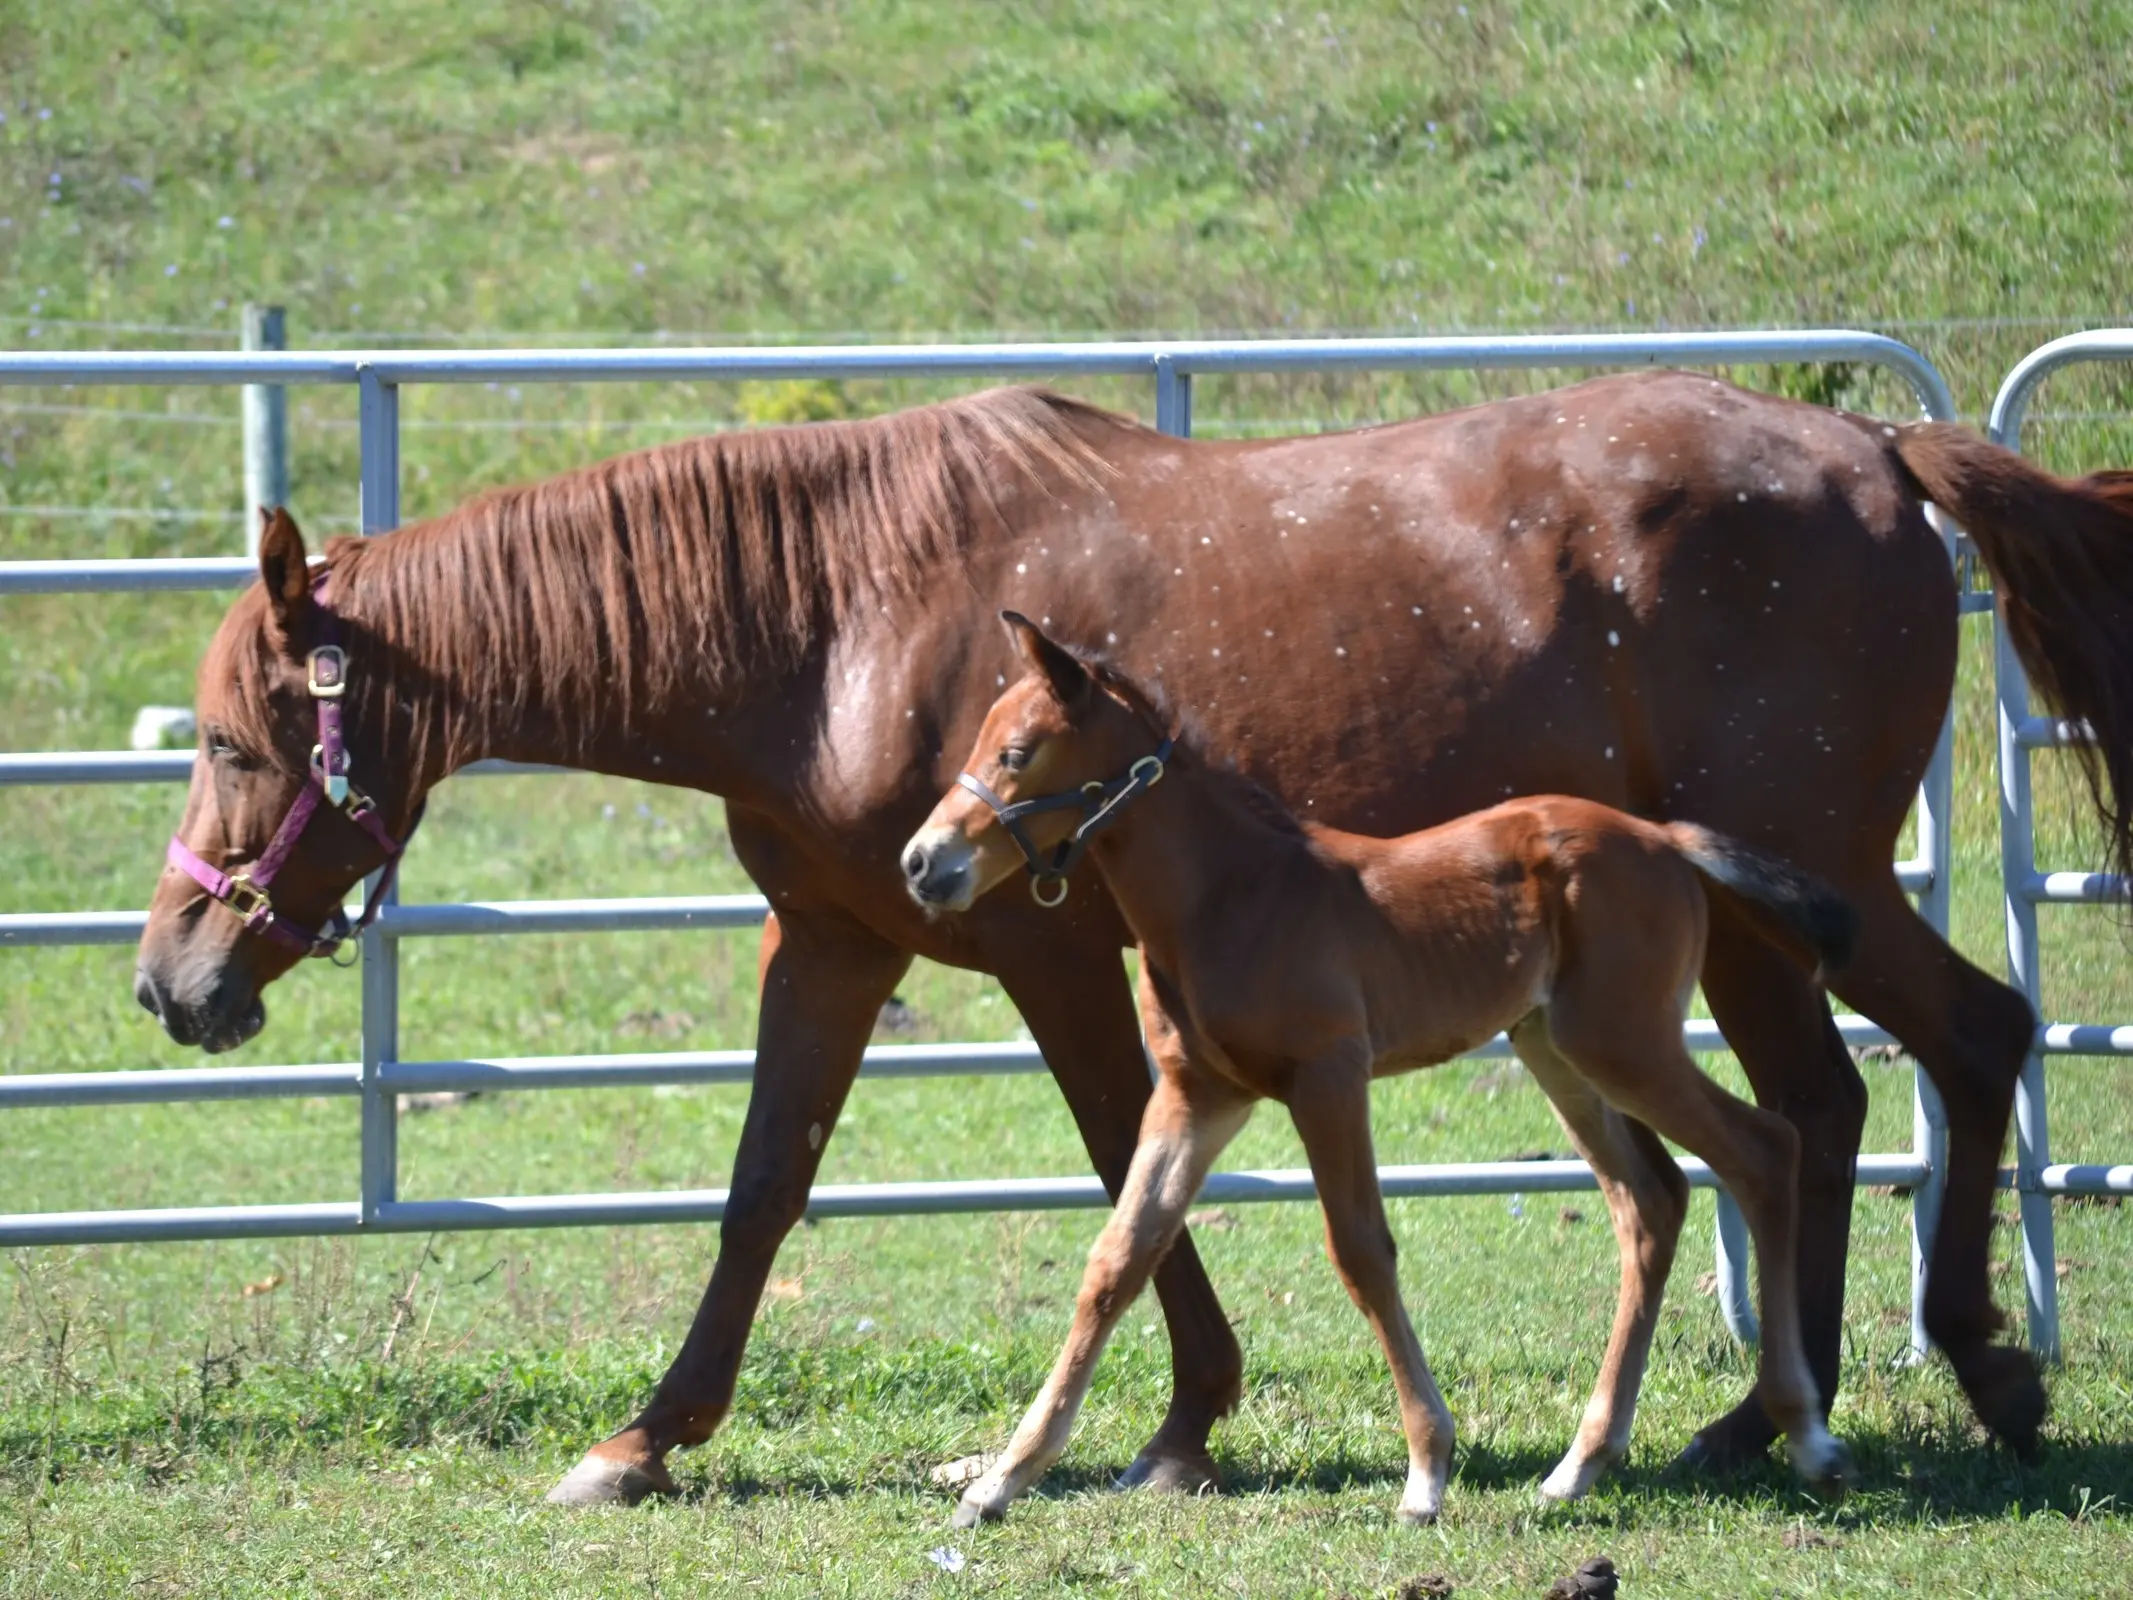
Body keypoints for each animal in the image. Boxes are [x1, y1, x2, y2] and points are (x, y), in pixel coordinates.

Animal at [908, 618, 1859, 1527]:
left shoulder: (1328, 1074)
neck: (1226, 896)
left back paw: (1806, 1437)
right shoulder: (1196, 1097)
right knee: (1651, 1198)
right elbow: (1117, 1260)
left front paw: (1426, 1473)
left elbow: (1361, 1249)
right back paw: (1579, 1466)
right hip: (1553, 1046)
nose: (922, 862)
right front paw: (998, 1482)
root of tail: (1663, 838)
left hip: (1623, 1042)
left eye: (1016, 753)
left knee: (1762, 1148)